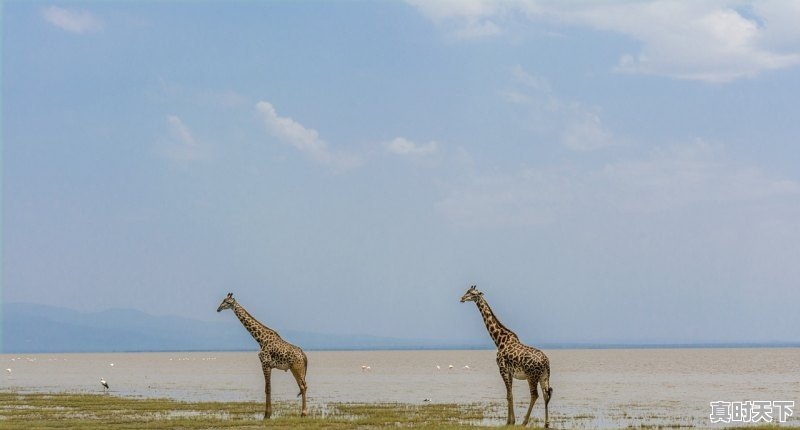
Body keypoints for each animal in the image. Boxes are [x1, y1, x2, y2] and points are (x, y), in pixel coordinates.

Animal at [460, 286, 552, 426]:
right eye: (467, 291)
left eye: (473, 294)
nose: (462, 298)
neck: (499, 340)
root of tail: (546, 362)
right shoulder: (510, 372)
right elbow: (510, 395)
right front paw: (510, 421)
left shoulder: (502, 369)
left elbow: (509, 395)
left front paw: (510, 422)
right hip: (544, 376)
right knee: (546, 394)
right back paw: (546, 423)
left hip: (532, 376)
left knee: (534, 395)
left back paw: (524, 422)